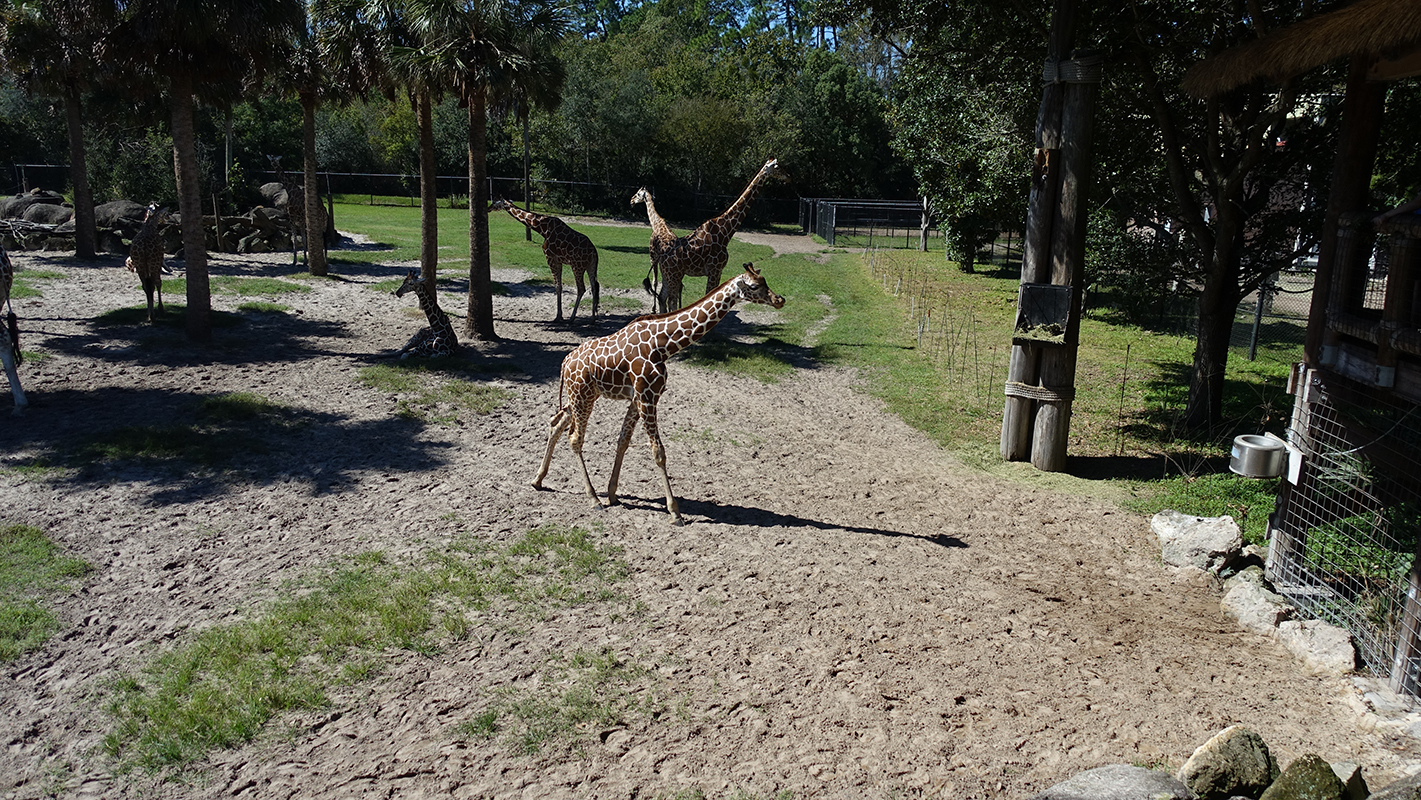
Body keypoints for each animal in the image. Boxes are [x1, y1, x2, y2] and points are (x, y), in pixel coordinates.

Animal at [532, 263, 786, 525]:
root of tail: (564, 363)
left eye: (765, 282)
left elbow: (623, 442)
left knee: (556, 422)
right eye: (754, 286)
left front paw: (613, 494)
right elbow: (658, 451)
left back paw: (538, 480)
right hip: (581, 395)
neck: (664, 345)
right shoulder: (647, 396)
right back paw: (593, 499)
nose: (780, 299)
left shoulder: (638, 397)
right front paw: (674, 511)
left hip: (583, 395)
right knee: (575, 438)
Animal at [638, 158, 780, 313]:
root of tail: (663, 256)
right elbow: (710, 296)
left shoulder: (715, 271)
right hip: (670, 272)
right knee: (669, 298)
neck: (725, 232)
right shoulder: (715, 270)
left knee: (663, 296)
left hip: (669, 273)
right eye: (778, 168)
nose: (788, 177)